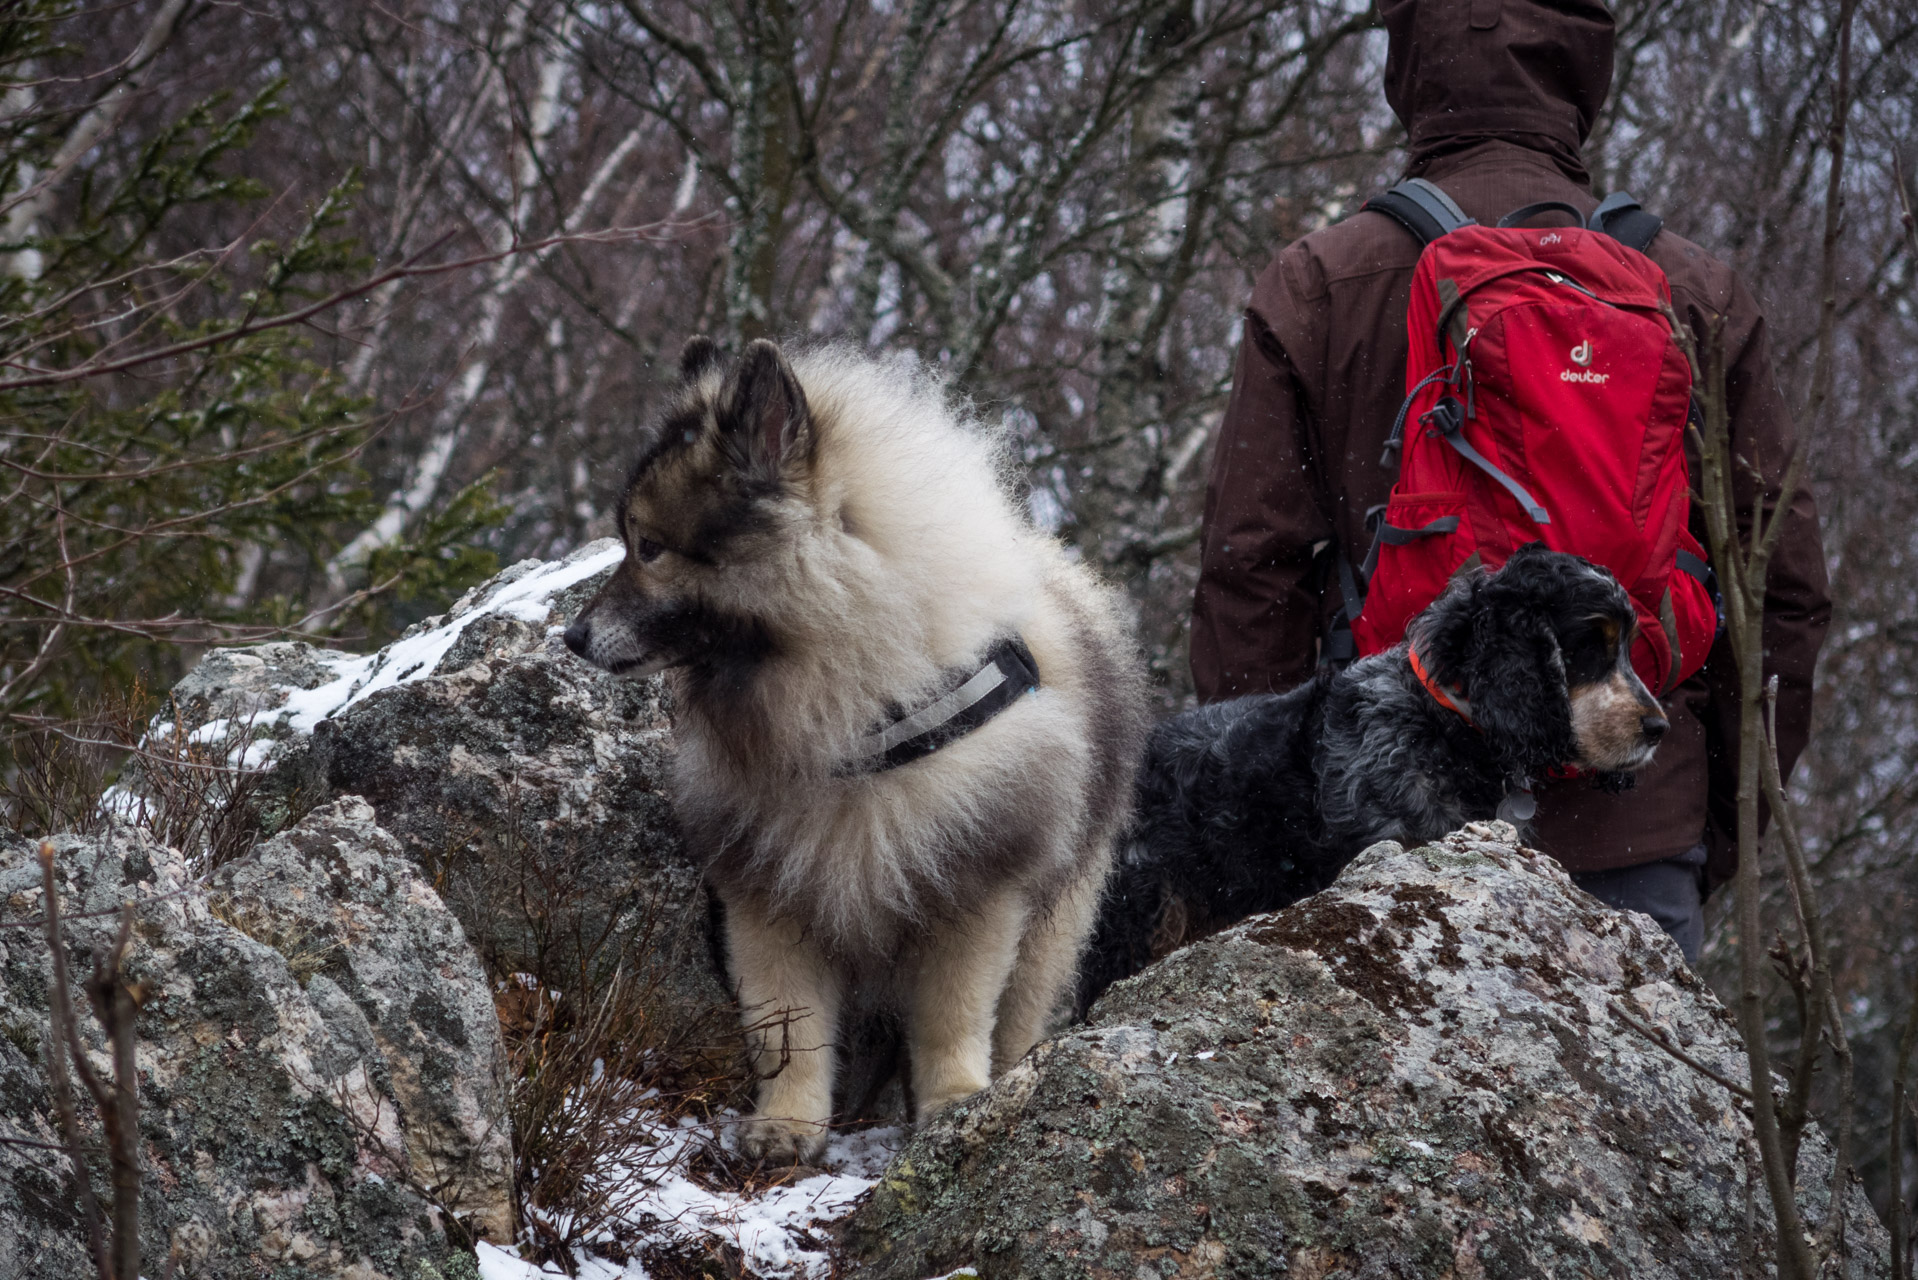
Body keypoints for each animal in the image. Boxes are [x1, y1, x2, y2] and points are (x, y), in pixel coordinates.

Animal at [560, 335, 1143, 1159]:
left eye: (650, 547)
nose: (572, 636)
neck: (855, 721)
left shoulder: (974, 891)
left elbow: (953, 1016)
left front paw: (954, 1101)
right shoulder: (769, 894)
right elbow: (789, 1026)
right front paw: (787, 1122)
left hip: (1052, 922)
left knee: (1020, 1009)